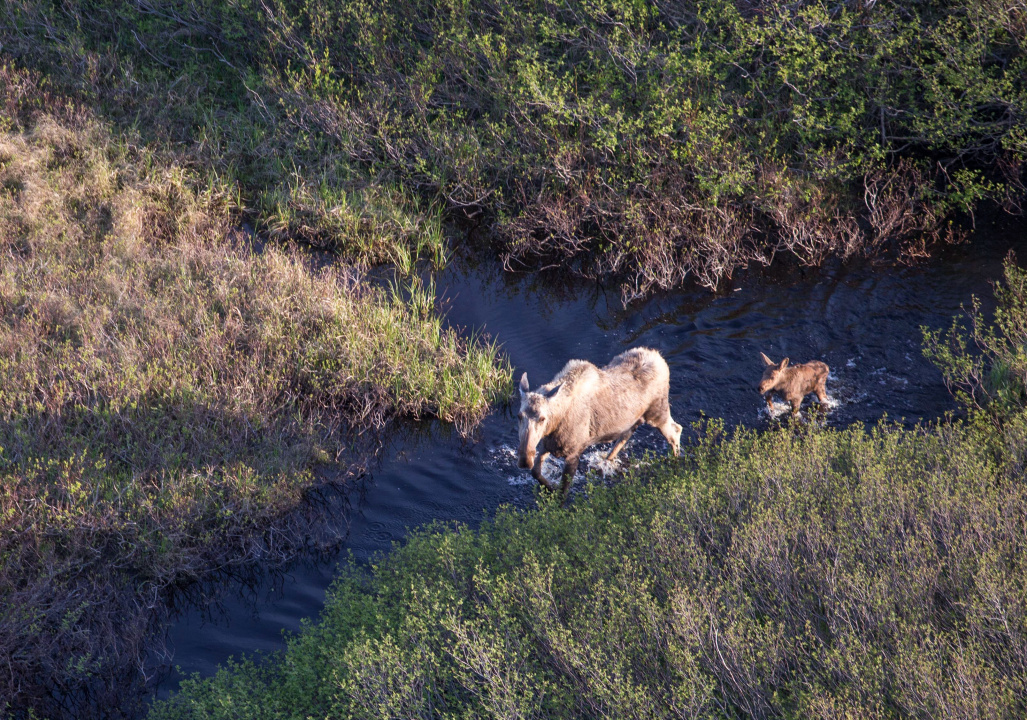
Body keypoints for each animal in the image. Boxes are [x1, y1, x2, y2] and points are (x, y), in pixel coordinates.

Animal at [513, 345, 681, 503]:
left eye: (542, 418)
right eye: (519, 415)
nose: (524, 460)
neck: (555, 423)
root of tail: (660, 358)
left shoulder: (573, 453)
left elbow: (563, 493)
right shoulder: (548, 444)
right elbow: (536, 472)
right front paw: (550, 487)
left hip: (658, 412)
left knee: (675, 431)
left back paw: (676, 465)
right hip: (635, 418)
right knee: (627, 434)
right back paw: (607, 460)